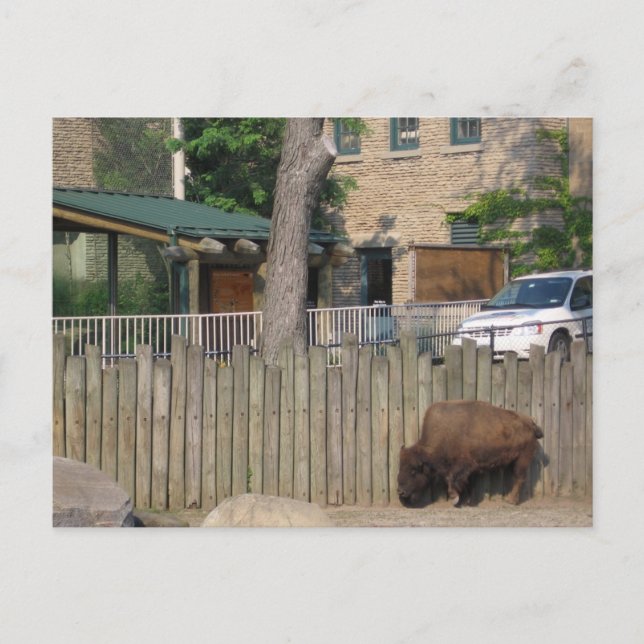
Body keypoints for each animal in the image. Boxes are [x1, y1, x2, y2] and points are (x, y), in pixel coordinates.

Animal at [397, 400, 543, 507]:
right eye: (400, 467)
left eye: (413, 471)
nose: (400, 491)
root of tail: (531, 423)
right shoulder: (470, 469)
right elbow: (468, 483)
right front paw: (469, 501)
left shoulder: (463, 465)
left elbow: (451, 478)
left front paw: (455, 498)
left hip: (522, 459)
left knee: (519, 478)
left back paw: (511, 501)